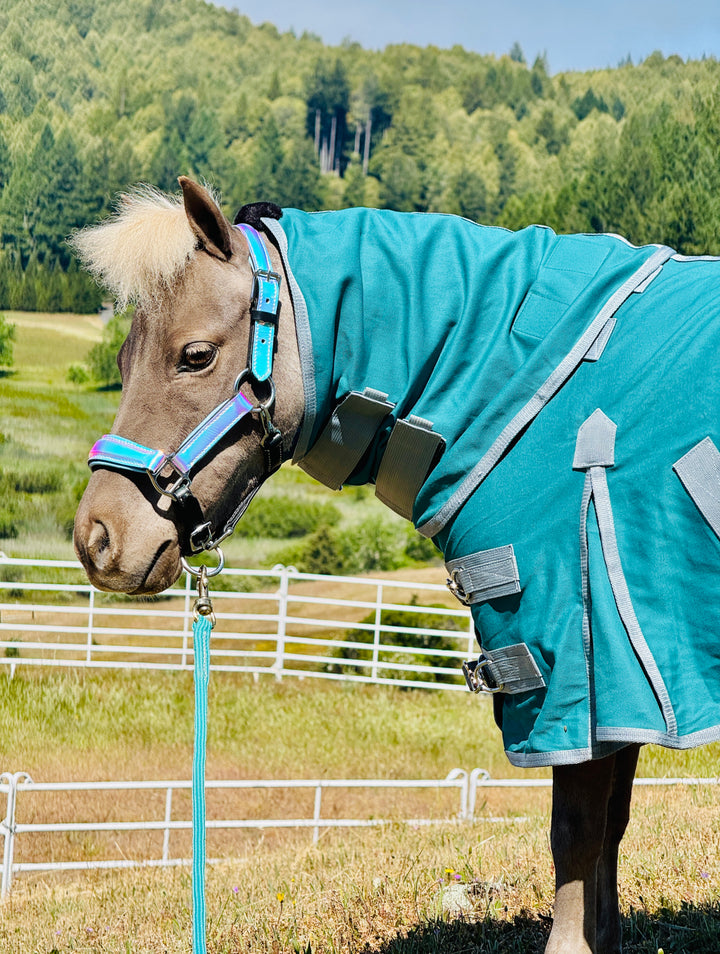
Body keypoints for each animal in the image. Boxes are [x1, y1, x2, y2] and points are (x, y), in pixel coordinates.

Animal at [72, 177, 720, 954]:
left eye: (194, 355)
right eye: (119, 361)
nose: (98, 538)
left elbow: (578, 835)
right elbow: (610, 835)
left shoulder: (576, 666)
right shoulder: (620, 685)